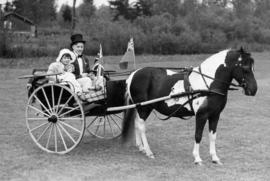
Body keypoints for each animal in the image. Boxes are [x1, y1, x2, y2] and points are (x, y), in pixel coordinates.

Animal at [122, 47, 258, 164]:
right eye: (245, 68)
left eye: (252, 67)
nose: (253, 90)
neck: (209, 84)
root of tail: (134, 74)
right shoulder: (201, 115)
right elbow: (198, 135)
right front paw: (197, 158)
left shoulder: (215, 115)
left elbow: (213, 136)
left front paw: (214, 158)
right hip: (144, 108)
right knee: (141, 127)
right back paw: (148, 151)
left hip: (140, 108)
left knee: (136, 123)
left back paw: (141, 147)